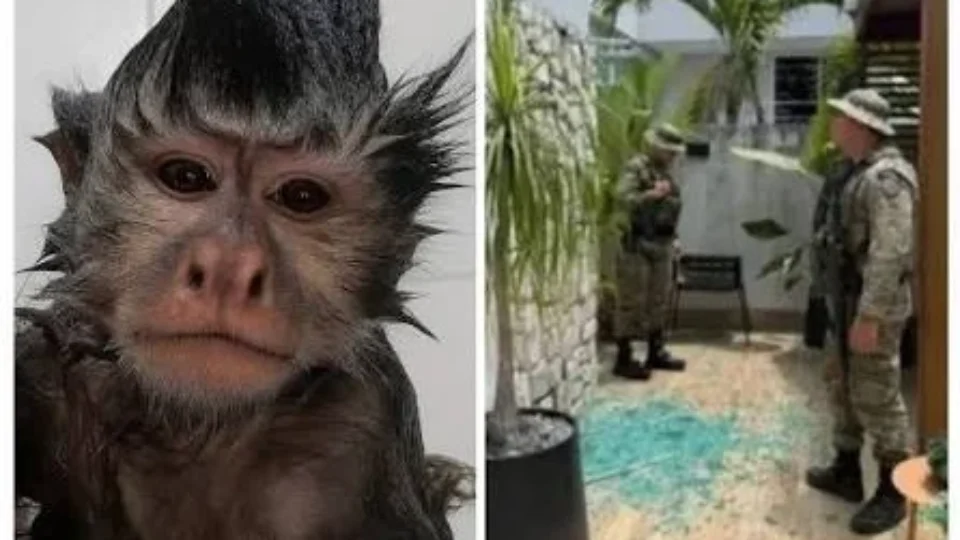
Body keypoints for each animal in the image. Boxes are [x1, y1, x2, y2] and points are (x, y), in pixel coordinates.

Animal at [14, 0, 474, 538]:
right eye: (186, 176)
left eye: (301, 197)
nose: (229, 266)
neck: (193, 429)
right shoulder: (44, 375)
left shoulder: (360, 424)